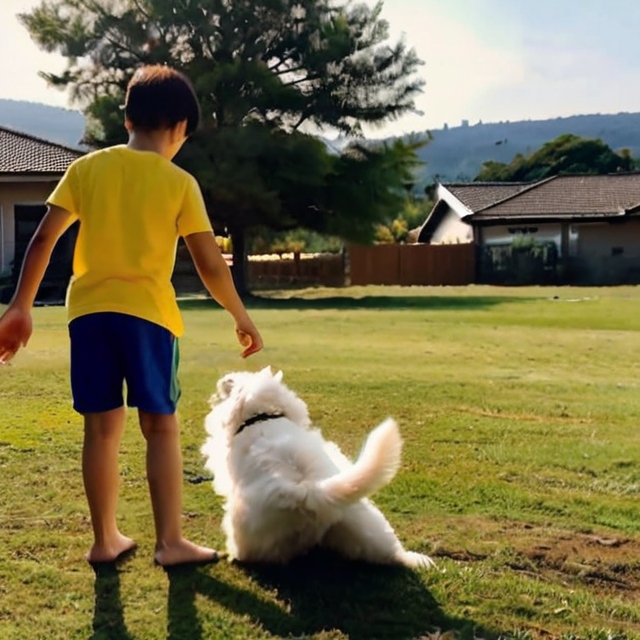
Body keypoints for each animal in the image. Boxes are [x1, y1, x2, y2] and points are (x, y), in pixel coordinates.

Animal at [200, 368, 436, 568]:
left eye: (233, 381)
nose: (222, 380)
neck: (261, 417)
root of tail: (308, 492)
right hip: (364, 525)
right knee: (390, 553)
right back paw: (416, 560)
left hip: (244, 528)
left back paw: (234, 555)